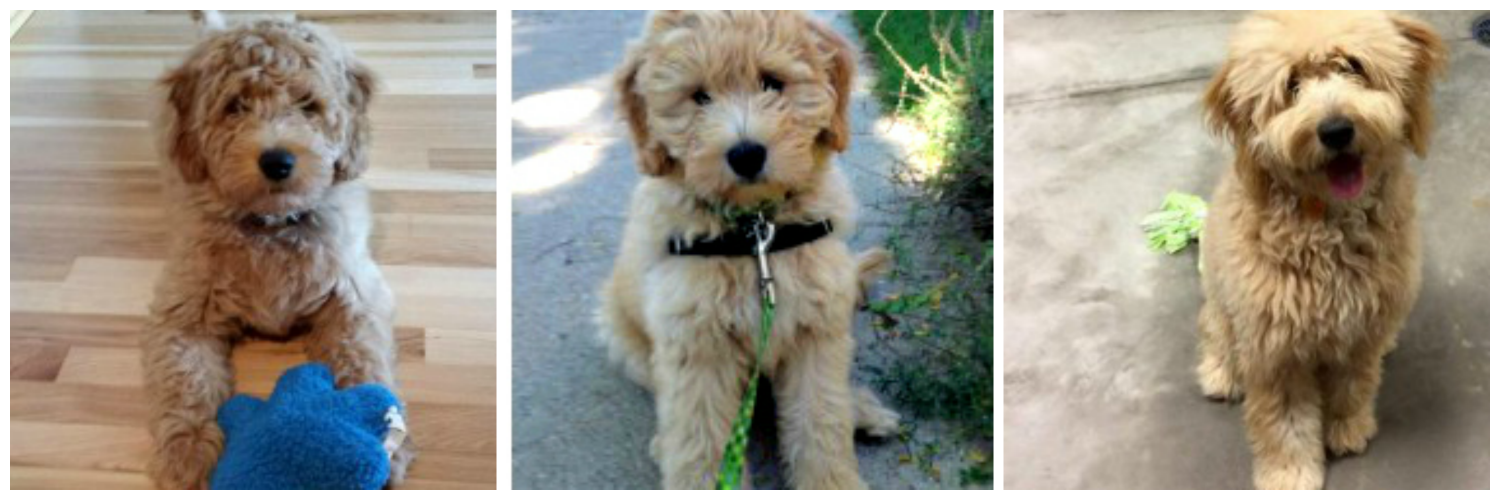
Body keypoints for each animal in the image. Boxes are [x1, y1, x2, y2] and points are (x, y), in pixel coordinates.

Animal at [141, 12, 414, 486]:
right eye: (235, 105)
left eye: (308, 105)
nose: (277, 161)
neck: (270, 226)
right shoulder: (183, 308)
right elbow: (185, 376)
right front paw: (187, 451)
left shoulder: (355, 294)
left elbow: (361, 357)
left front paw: (384, 440)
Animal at [600, 10, 900, 486]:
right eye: (699, 96)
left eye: (772, 82)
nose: (745, 154)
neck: (756, 233)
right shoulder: (697, 349)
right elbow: (701, 442)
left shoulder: (817, 332)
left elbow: (821, 419)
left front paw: (831, 481)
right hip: (623, 335)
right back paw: (663, 443)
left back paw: (862, 410)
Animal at [1194, 10, 1440, 486]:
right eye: (1291, 85)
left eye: (1353, 66)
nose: (1336, 130)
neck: (1329, 226)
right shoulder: (1275, 348)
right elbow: (1285, 421)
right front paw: (1290, 474)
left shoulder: (1361, 329)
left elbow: (1354, 384)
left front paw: (1348, 428)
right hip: (1222, 302)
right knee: (1215, 330)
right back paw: (1219, 372)